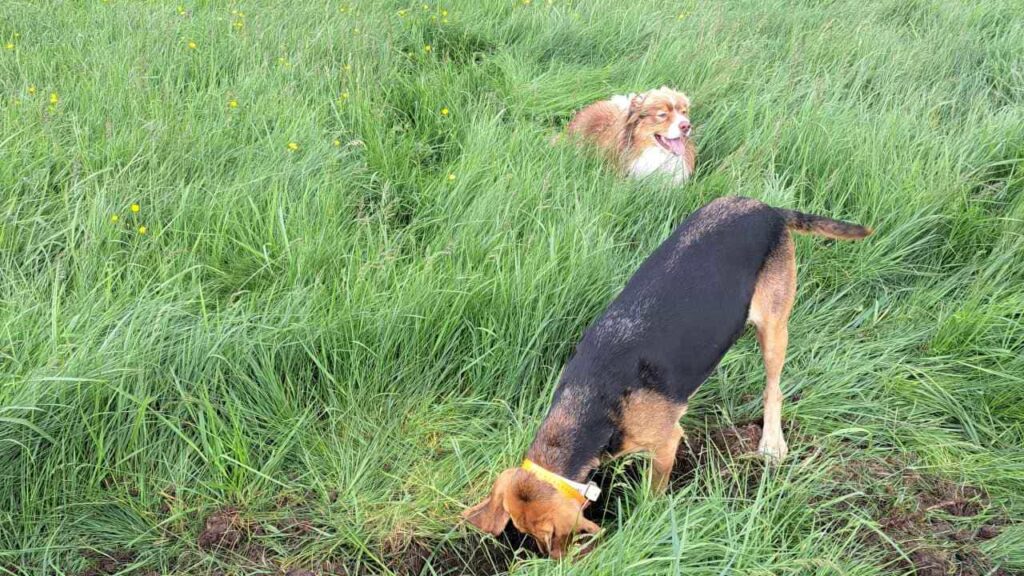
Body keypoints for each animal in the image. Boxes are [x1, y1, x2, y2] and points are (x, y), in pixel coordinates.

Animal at [464, 195, 872, 557]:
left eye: (547, 536)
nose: (549, 559)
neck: (590, 403)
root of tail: (767, 209)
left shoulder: (664, 444)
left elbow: (653, 490)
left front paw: (643, 521)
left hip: (773, 325)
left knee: (774, 388)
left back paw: (772, 441)